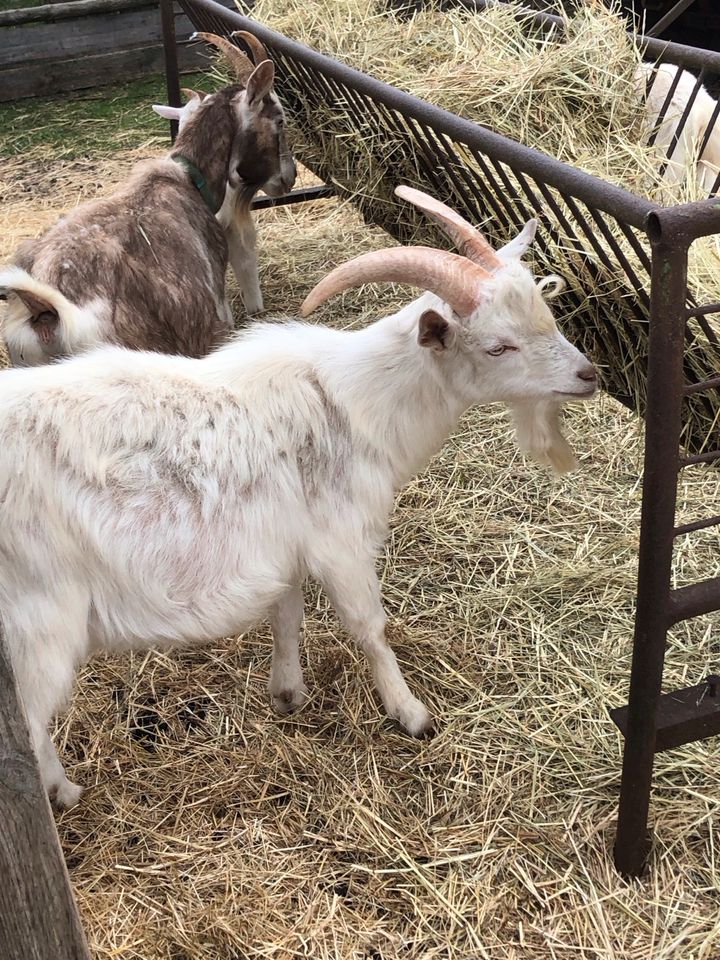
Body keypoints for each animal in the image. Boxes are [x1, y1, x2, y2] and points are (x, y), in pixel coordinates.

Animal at [0, 184, 596, 808]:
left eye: (547, 316)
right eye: (499, 347)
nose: (589, 375)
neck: (356, 401)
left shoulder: (284, 543)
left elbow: (286, 612)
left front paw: (287, 691)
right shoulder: (342, 540)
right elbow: (367, 626)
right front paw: (410, 712)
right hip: (39, 621)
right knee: (29, 728)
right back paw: (62, 792)